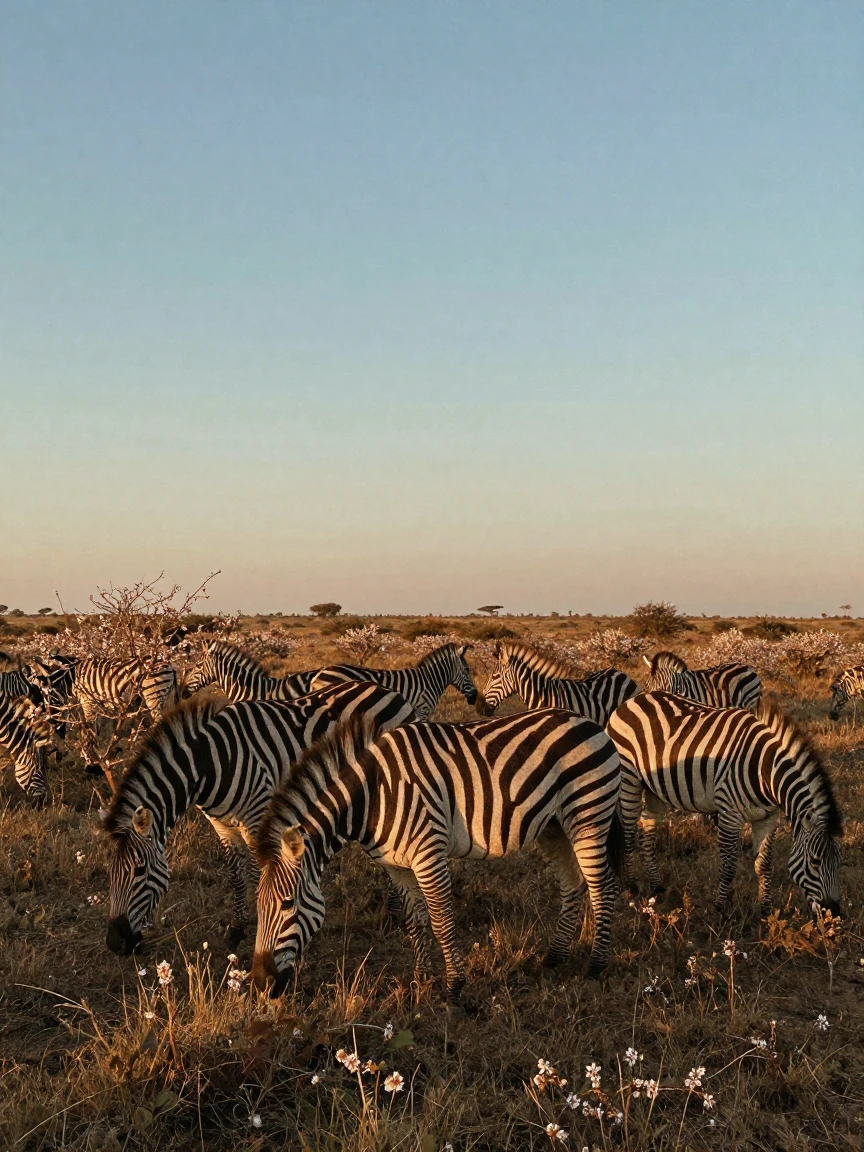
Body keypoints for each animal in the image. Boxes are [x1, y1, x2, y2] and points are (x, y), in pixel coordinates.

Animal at [101, 681, 417, 955]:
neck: (208, 764)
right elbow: (236, 877)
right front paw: (236, 931)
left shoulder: (255, 818)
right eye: (110, 873)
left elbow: (258, 875)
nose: (115, 944)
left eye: (140, 870)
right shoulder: (222, 826)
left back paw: (393, 916)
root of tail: (389, 691)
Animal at [251, 708, 623, 1006]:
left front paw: (454, 989)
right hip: (553, 827)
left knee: (603, 888)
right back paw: (554, 958)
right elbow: (414, 923)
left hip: (588, 815)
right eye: (258, 907)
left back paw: (595, 967)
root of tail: (589, 722)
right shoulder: (396, 865)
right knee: (572, 885)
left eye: (288, 904)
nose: (260, 983)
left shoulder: (429, 852)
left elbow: (442, 922)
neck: (372, 797)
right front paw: (421, 980)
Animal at [606, 691, 842, 918]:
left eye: (839, 861)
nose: (834, 912)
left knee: (647, 829)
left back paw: (656, 887)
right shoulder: (729, 812)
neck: (765, 770)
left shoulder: (768, 817)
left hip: (655, 789)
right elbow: (728, 866)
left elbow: (764, 864)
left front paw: (765, 910)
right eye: (815, 862)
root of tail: (632, 700)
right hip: (629, 779)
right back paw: (632, 887)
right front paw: (720, 909)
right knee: (629, 833)